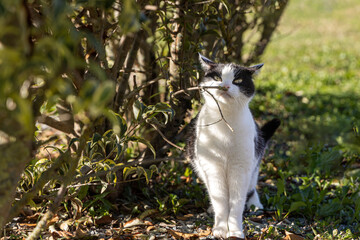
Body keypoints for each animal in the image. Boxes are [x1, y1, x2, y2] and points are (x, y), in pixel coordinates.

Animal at [187, 53, 280, 239]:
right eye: (217, 78)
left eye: (237, 80)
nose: (225, 86)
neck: (226, 122)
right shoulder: (212, 166)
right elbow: (221, 200)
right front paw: (220, 229)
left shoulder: (241, 166)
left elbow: (236, 203)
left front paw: (236, 231)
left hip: (254, 162)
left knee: (251, 187)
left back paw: (255, 204)